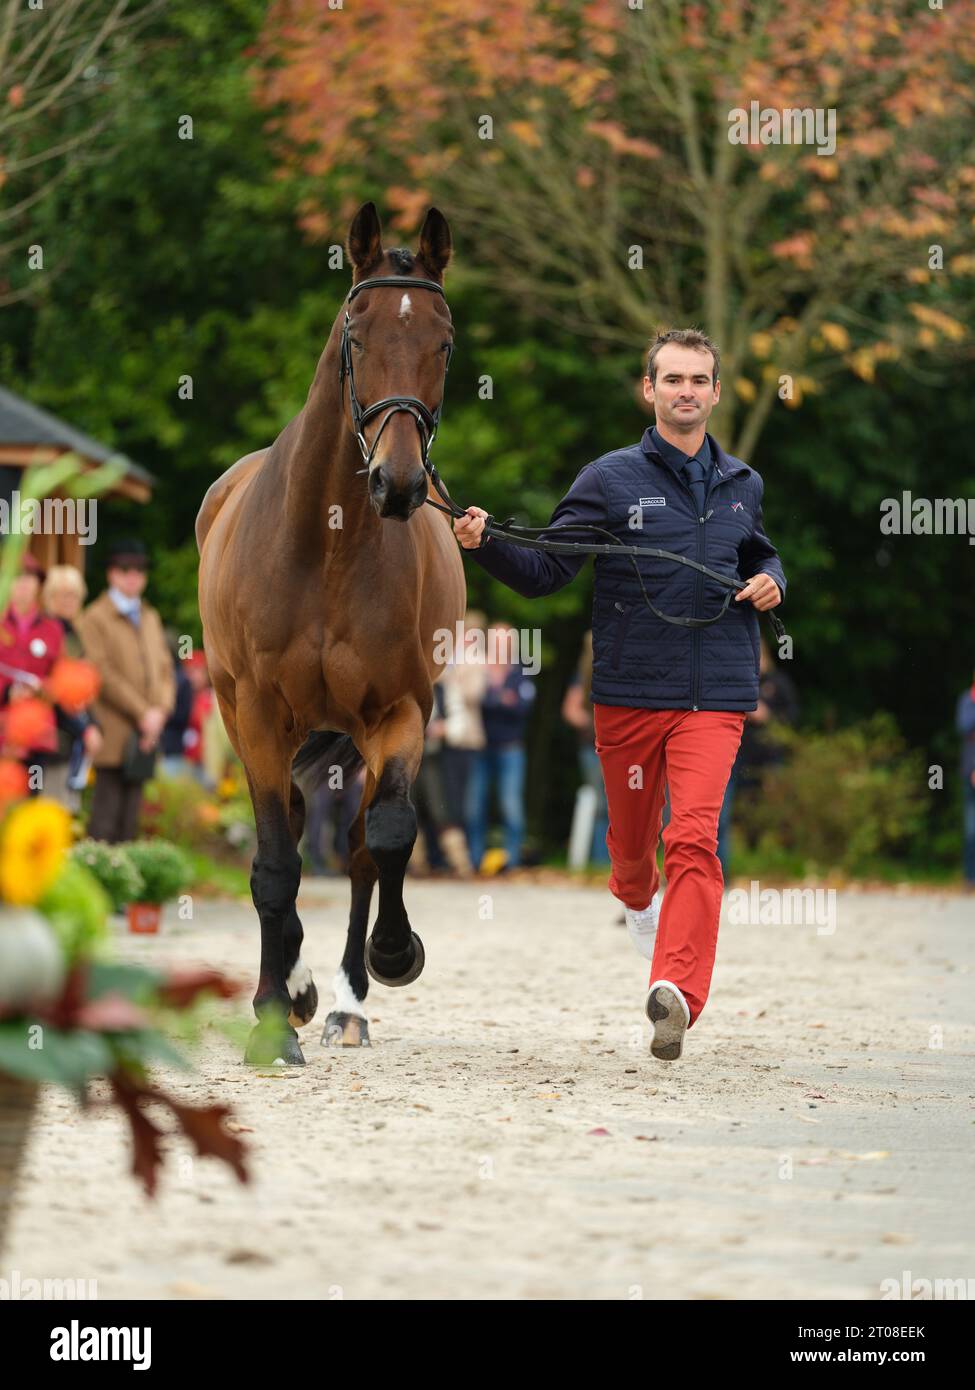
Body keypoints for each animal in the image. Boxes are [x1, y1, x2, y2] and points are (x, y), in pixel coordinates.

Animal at [197, 202, 464, 1061]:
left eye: (443, 342)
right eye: (356, 335)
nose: (399, 483)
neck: (325, 543)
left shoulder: (400, 711)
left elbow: (386, 835)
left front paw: (392, 955)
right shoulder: (254, 714)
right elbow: (274, 863)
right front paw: (274, 1015)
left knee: (353, 847)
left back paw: (344, 1002)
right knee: (284, 833)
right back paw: (291, 989)